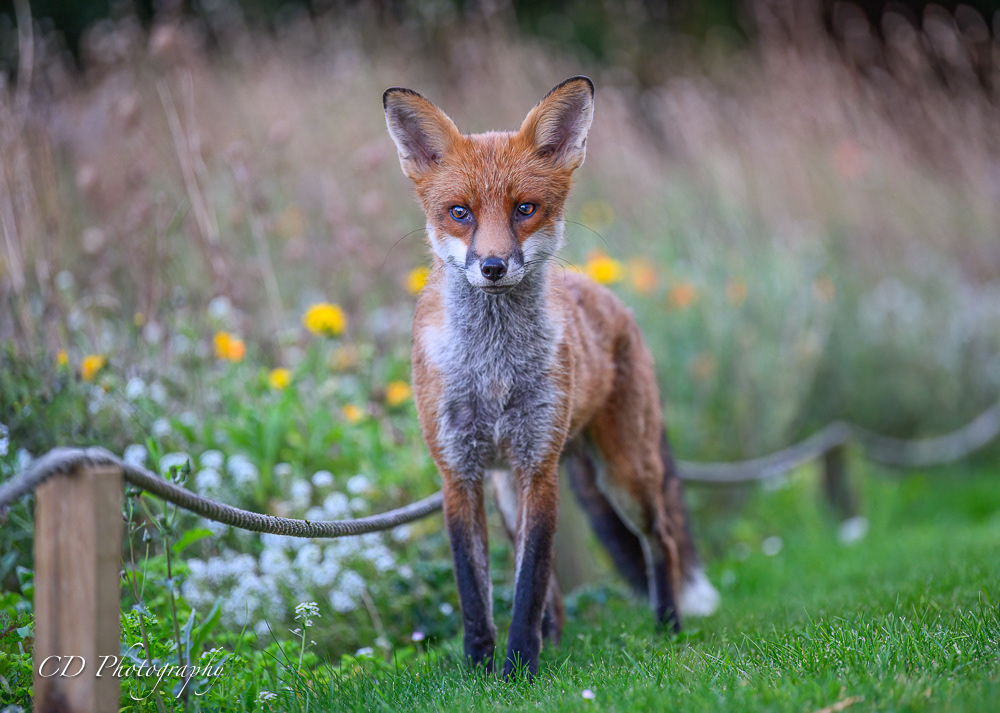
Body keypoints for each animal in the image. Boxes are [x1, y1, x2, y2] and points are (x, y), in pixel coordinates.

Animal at [383, 76, 719, 678]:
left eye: (525, 208)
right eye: (459, 212)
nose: (493, 267)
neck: (493, 370)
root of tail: (608, 296)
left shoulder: (537, 465)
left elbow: (529, 581)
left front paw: (518, 666)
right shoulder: (460, 473)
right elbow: (477, 591)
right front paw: (479, 671)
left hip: (624, 473)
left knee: (661, 540)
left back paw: (667, 625)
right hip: (513, 491)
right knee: (555, 583)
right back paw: (557, 639)